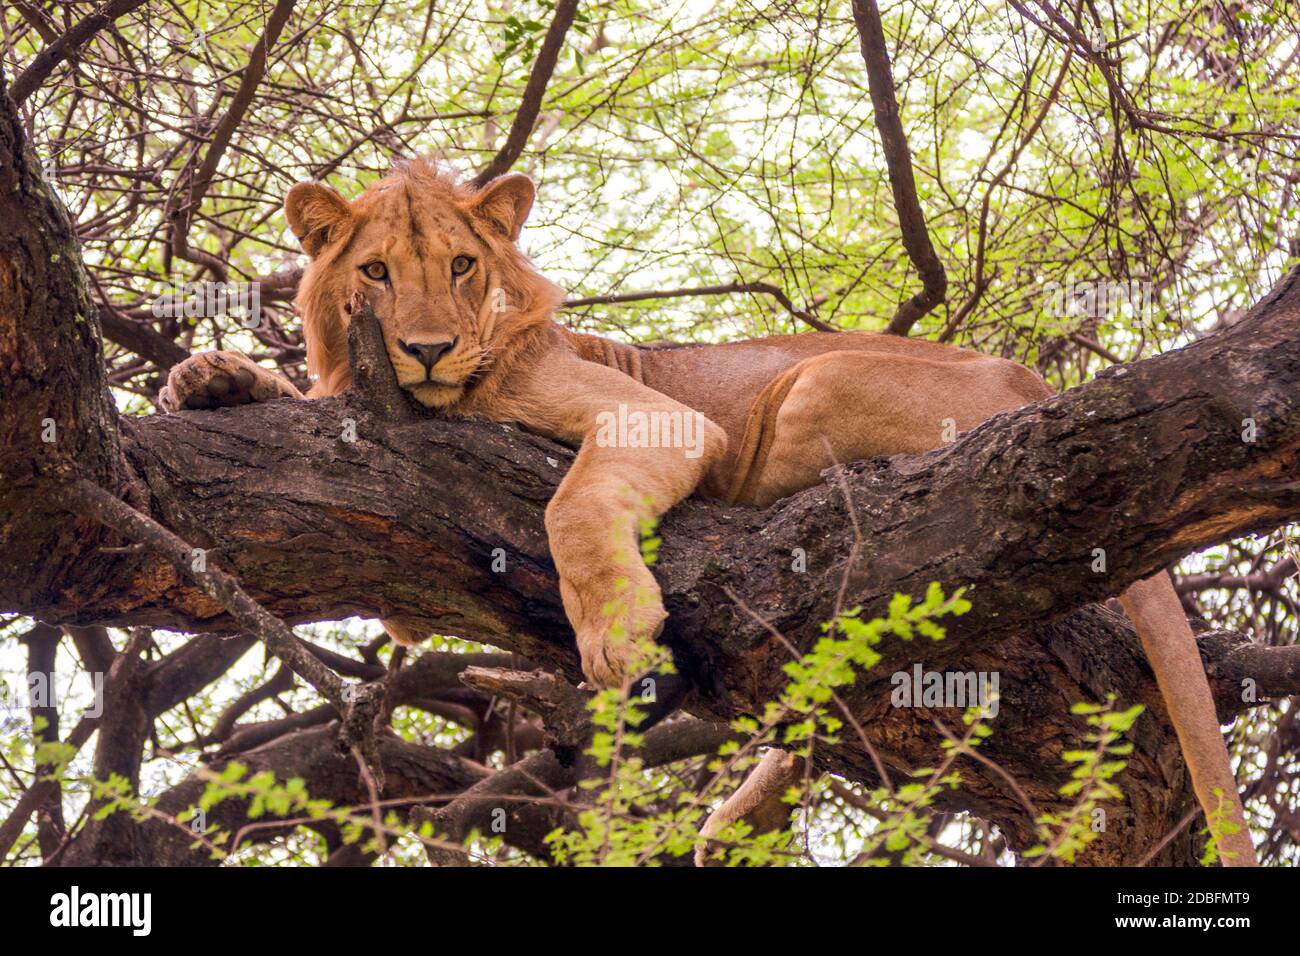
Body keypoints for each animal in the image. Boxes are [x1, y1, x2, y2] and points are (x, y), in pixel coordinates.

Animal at [154, 158, 1258, 868]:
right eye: (376, 272)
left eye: (462, 266)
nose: (423, 350)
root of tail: (1039, 379)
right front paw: (211, 378)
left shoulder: (658, 417)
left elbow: (571, 508)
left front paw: (618, 641)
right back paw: (737, 825)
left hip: (806, 391)